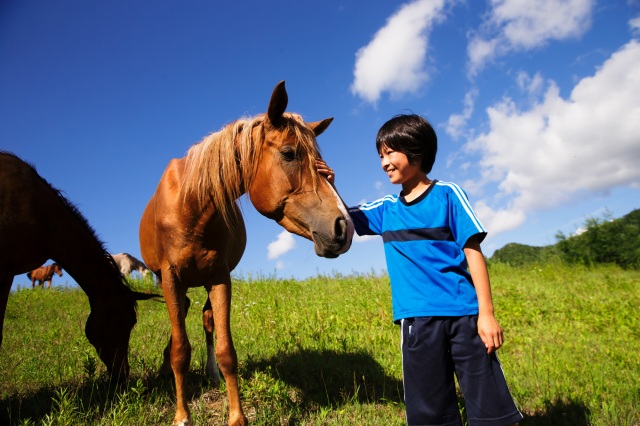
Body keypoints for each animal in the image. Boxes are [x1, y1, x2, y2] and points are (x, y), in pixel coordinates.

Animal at [138, 80, 356, 426]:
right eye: (289, 154)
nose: (344, 228)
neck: (191, 203)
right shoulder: (171, 279)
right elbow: (180, 351)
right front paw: (182, 415)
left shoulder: (219, 278)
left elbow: (227, 351)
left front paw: (236, 417)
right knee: (182, 320)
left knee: (206, 320)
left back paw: (211, 374)